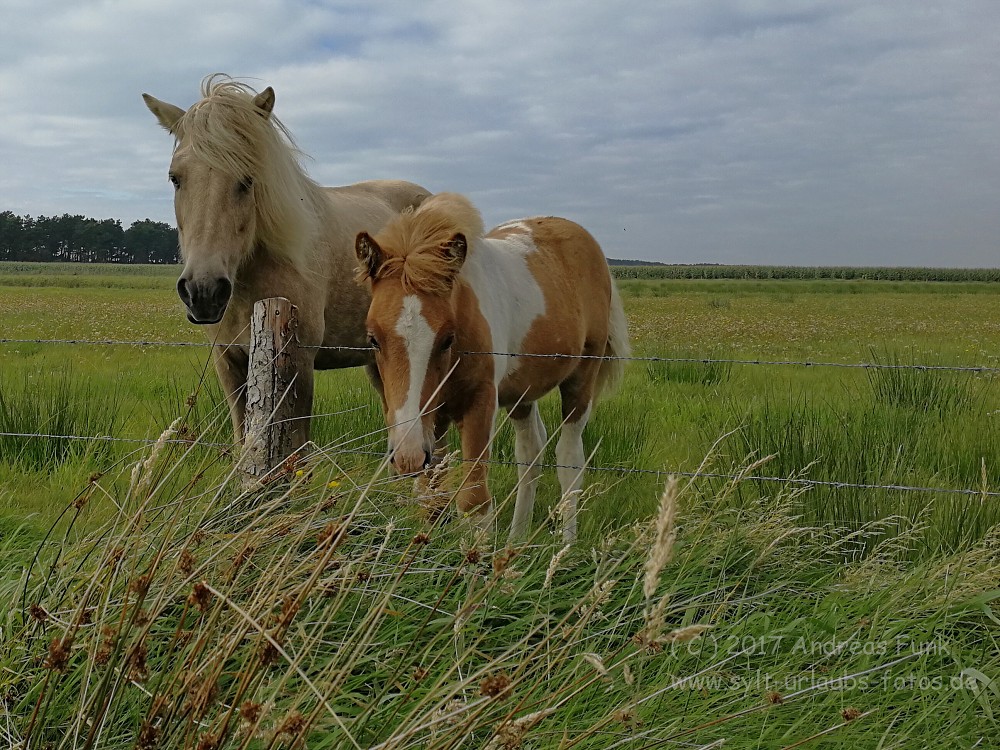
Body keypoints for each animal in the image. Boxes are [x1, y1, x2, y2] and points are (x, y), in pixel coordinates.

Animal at [143, 75, 432, 452]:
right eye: (175, 178)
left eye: (247, 180)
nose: (203, 292)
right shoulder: (228, 361)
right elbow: (243, 442)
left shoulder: (299, 365)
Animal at [356, 194, 628, 540]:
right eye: (373, 339)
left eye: (447, 338)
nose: (408, 456)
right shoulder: (433, 418)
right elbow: (434, 500)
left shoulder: (480, 403)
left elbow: (474, 502)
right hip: (521, 393)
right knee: (530, 454)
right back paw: (516, 540)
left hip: (581, 379)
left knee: (569, 460)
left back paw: (566, 544)